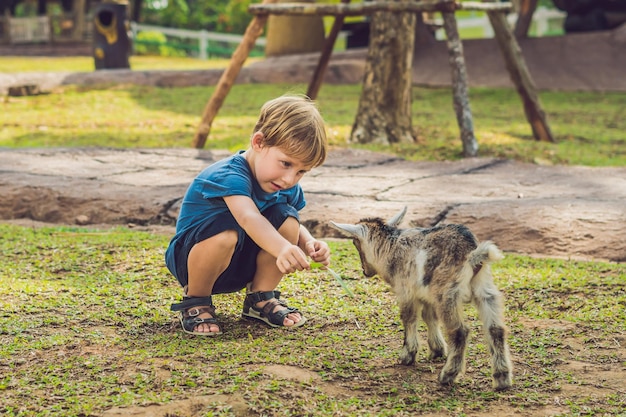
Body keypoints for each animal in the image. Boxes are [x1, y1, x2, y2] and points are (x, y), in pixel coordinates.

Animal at [330, 206, 510, 388]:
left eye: (355, 242)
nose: (365, 271)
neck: (390, 247)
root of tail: (472, 254)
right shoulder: (426, 294)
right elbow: (429, 316)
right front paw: (437, 350)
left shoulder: (406, 291)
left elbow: (409, 318)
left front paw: (407, 356)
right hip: (484, 289)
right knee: (495, 328)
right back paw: (502, 378)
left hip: (447, 294)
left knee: (460, 331)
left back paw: (448, 375)